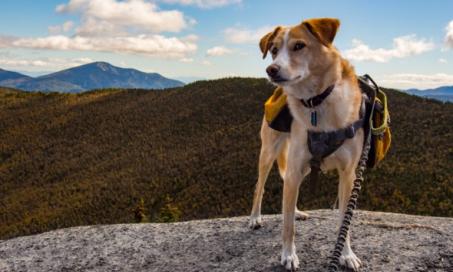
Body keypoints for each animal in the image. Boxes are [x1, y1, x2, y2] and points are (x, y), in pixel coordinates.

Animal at [251, 18, 364, 270]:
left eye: (299, 46)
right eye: (274, 50)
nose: (271, 69)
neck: (317, 102)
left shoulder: (348, 174)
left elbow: (345, 222)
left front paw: (347, 254)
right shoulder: (294, 168)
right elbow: (288, 226)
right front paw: (288, 255)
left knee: (289, 198)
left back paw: (297, 211)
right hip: (269, 153)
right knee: (260, 187)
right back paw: (254, 218)